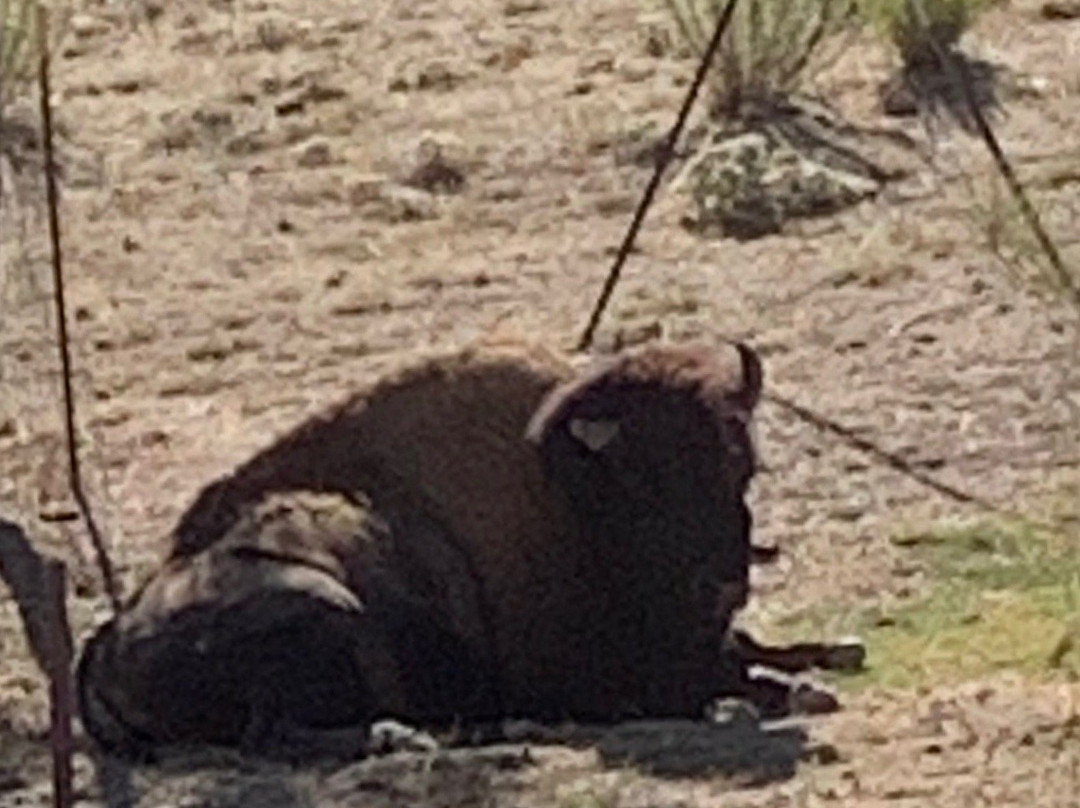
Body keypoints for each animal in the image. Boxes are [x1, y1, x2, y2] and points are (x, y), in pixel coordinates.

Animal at [76, 337, 864, 760]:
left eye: (743, 465)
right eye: (645, 477)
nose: (722, 584)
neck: (566, 488)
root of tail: (105, 641)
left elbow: (768, 649)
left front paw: (831, 654)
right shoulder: (612, 677)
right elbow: (729, 683)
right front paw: (790, 693)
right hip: (320, 599)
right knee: (277, 735)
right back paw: (426, 739)